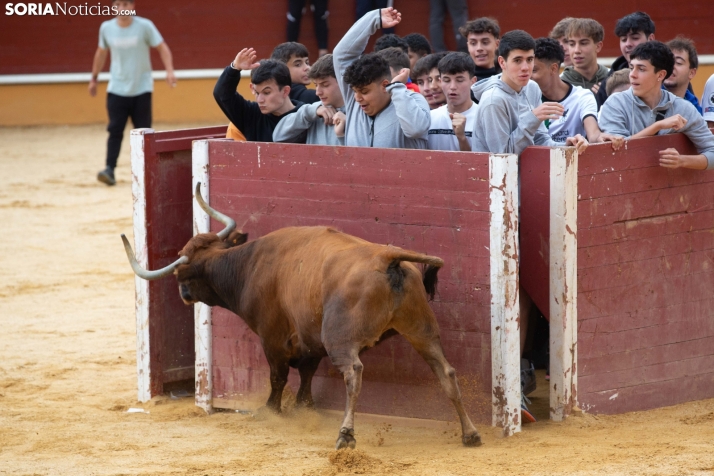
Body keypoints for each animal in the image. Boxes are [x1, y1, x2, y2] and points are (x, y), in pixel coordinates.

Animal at [121, 183, 478, 450]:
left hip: (341, 338)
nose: (185, 296)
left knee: (354, 374)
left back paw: (346, 435)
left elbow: (278, 376)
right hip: (421, 330)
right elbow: (306, 374)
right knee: (446, 371)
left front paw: (270, 410)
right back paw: (470, 433)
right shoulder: (310, 341)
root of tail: (386, 256)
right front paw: (304, 408)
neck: (248, 265)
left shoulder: (272, 337)